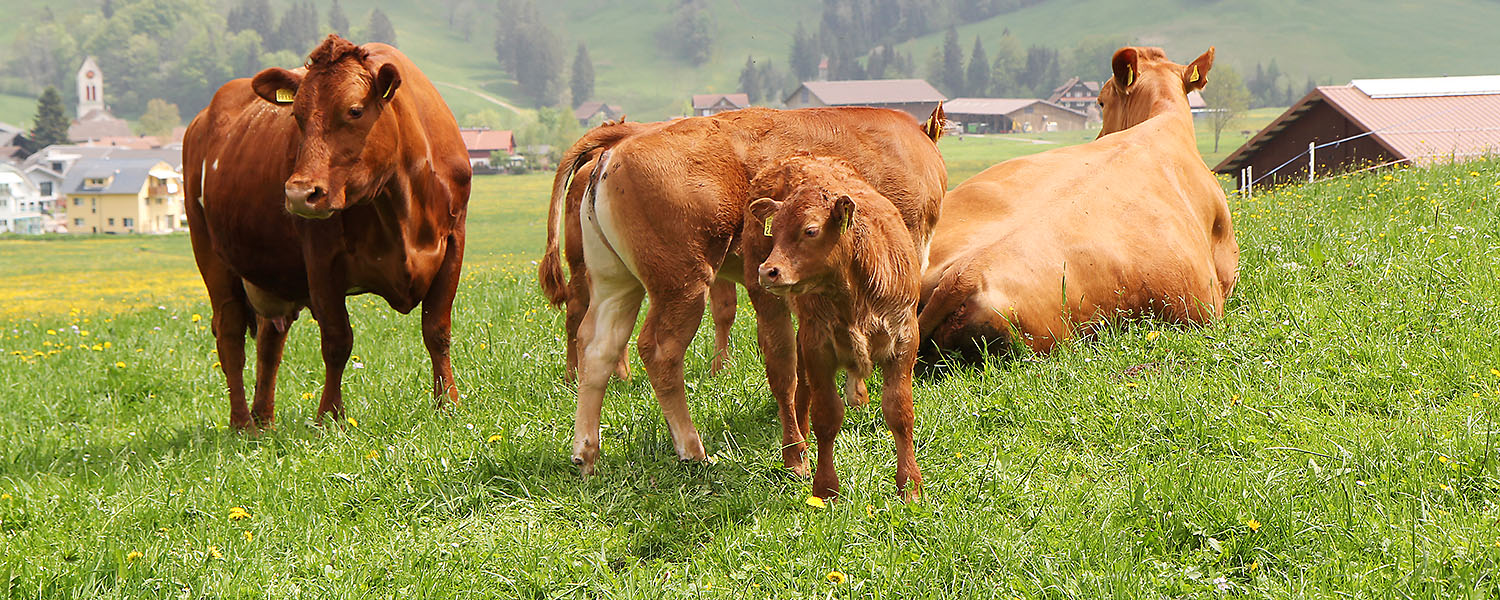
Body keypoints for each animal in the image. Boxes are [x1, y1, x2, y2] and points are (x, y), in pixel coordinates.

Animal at [185, 35, 471, 426]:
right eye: (296, 115)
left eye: (355, 111)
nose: (298, 193)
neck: (401, 204)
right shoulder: (321, 260)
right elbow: (337, 341)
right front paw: (330, 418)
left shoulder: (453, 242)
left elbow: (437, 330)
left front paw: (447, 405)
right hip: (211, 256)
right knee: (229, 335)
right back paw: (243, 424)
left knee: (269, 341)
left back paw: (265, 419)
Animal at [744, 156, 918, 501]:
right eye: (775, 231)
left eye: (810, 230)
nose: (768, 270)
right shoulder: (819, 345)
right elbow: (827, 416)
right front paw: (824, 489)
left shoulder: (904, 339)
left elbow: (899, 412)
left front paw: (909, 486)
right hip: (772, 313)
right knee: (785, 383)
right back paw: (795, 454)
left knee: (800, 386)